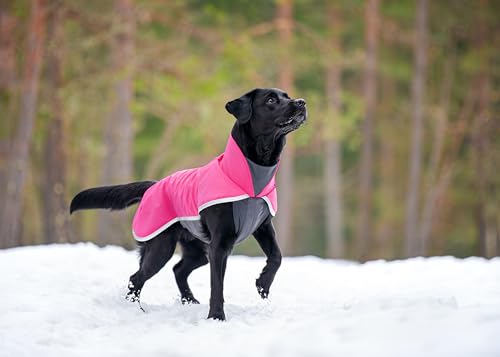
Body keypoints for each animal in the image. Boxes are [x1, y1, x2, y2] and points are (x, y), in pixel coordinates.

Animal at [69, 87, 304, 320]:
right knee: (137, 277)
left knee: (178, 270)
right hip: (161, 247)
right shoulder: (220, 244)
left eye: (287, 96)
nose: (301, 102)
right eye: (271, 100)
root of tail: (154, 185)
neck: (251, 175)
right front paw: (216, 317)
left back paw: (189, 300)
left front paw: (263, 283)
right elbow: (217, 285)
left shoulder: (263, 227)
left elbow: (277, 256)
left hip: (196, 250)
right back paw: (136, 309)